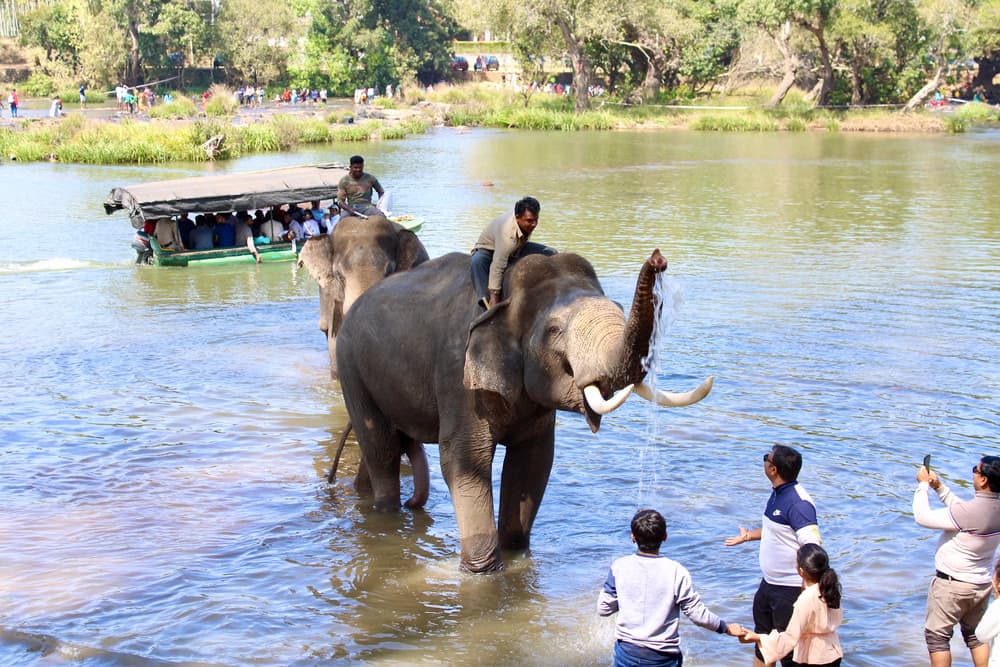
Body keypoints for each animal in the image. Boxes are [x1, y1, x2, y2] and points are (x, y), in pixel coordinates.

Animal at [335, 247, 713, 572]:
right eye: (555, 330)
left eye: (620, 308)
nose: (659, 259)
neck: (504, 299)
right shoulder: (459, 374)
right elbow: (465, 458)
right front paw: (483, 573)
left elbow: (533, 461)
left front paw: (516, 551)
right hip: (351, 365)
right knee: (382, 447)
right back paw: (386, 516)